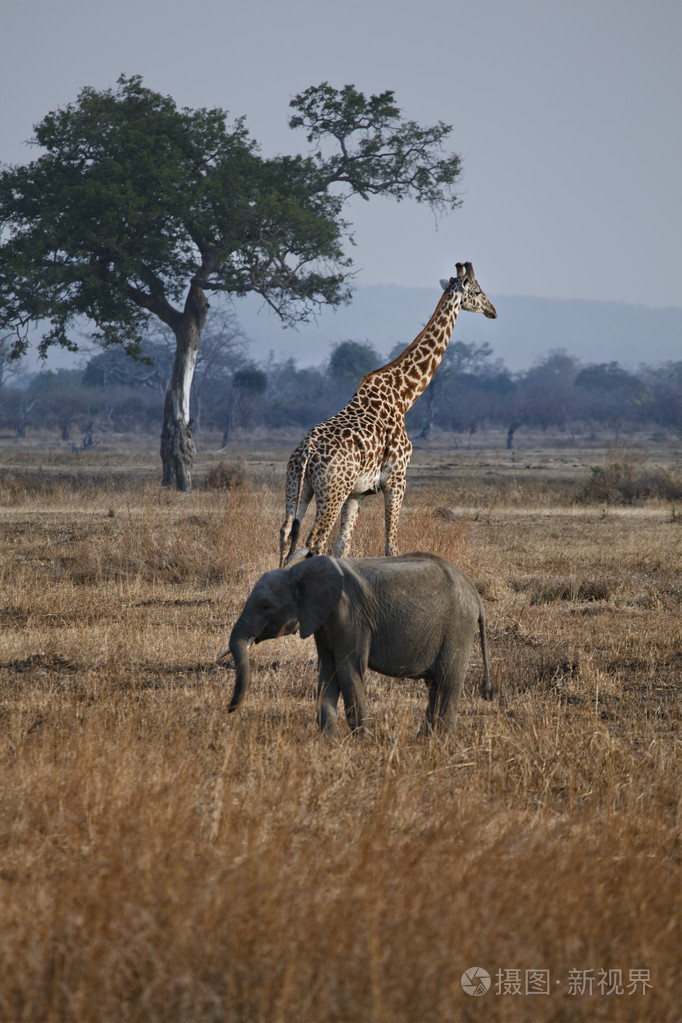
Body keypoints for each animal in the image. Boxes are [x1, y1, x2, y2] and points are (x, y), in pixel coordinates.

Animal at [221, 552, 492, 736]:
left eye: (266, 606)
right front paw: (327, 740)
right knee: (435, 684)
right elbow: (327, 672)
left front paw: (361, 739)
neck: (301, 570)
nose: (229, 709)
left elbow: (348, 671)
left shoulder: (350, 618)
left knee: (448, 680)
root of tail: (475, 595)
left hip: (457, 627)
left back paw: (441, 741)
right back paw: (424, 739)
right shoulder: (323, 620)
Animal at [278, 261, 496, 568]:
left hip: (298, 484)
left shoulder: (358, 493)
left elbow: (343, 546)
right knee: (314, 541)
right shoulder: (397, 477)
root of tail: (307, 451)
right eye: (476, 291)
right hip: (332, 491)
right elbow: (391, 546)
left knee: (288, 533)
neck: (403, 396)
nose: (493, 310)